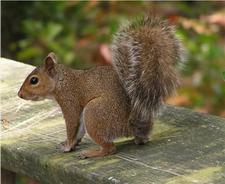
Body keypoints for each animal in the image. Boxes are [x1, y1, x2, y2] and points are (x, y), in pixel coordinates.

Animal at [18, 15, 185, 158]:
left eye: (34, 80)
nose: (20, 95)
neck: (62, 81)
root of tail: (130, 125)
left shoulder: (70, 101)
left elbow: (72, 125)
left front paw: (67, 146)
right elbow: (78, 131)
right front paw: (71, 144)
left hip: (94, 113)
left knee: (110, 148)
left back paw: (92, 153)